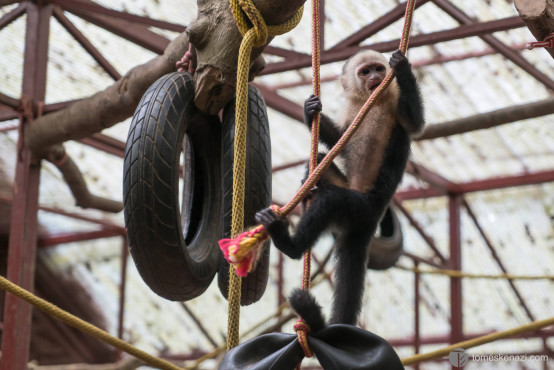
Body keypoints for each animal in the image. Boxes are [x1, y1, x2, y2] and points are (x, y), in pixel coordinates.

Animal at [254, 49, 422, 330]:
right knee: (320, 162)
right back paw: (307, 196)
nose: (376, 77)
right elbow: (339, 139)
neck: (372, 99)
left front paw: (402, 67)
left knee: (332, 202)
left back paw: (289, 243)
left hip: (361, 206)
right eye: (366, 72)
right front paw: (310, 111)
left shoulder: (396, 97)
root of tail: (370, 222)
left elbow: (414, 123)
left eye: (378, 68)